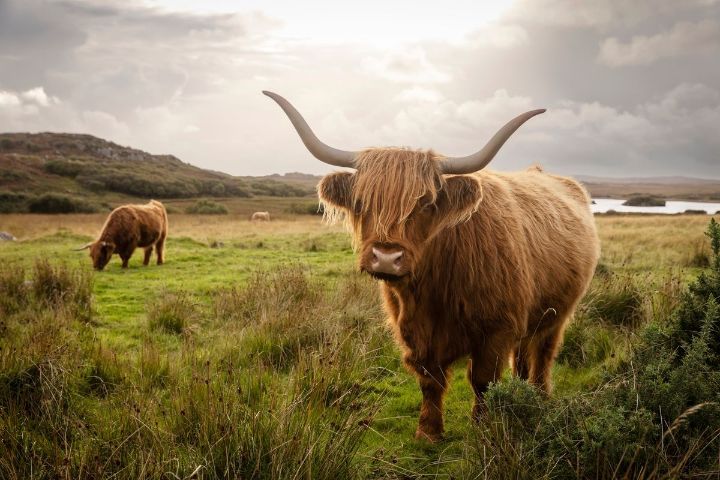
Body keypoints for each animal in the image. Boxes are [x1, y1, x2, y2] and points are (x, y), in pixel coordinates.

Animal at [264, 91, 600, 442]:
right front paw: (428, 431)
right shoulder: (414, 331)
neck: (432, 287)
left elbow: (483, 380)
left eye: (425, 203)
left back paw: (540, 394)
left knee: (544, 352)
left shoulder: (496, 328)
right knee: (521, 354)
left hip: (557, 313)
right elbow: (429, 379)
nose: (386, 257)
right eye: (361, 202)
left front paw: (482, 427)